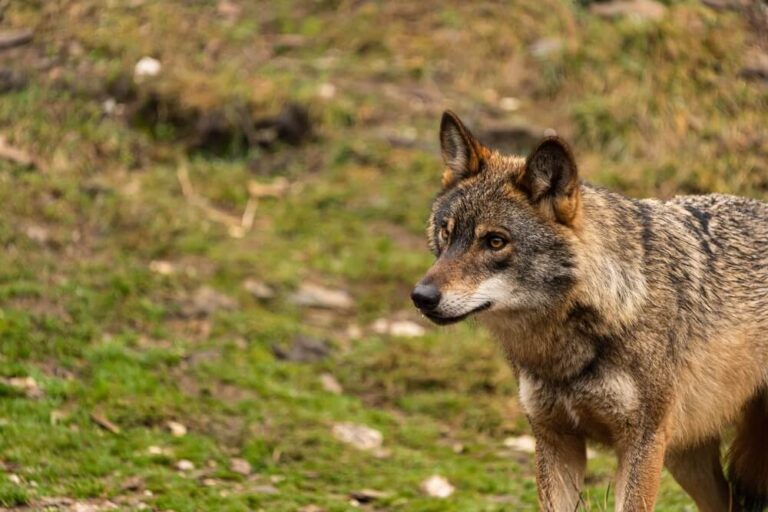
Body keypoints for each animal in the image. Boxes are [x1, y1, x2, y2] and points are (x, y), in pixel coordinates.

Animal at [411, 111, 768, 511]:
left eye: (496, 241)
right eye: (446, 233)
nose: (421, 296)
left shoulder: (641, 443)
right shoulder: (554, 439)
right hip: (685, 458)